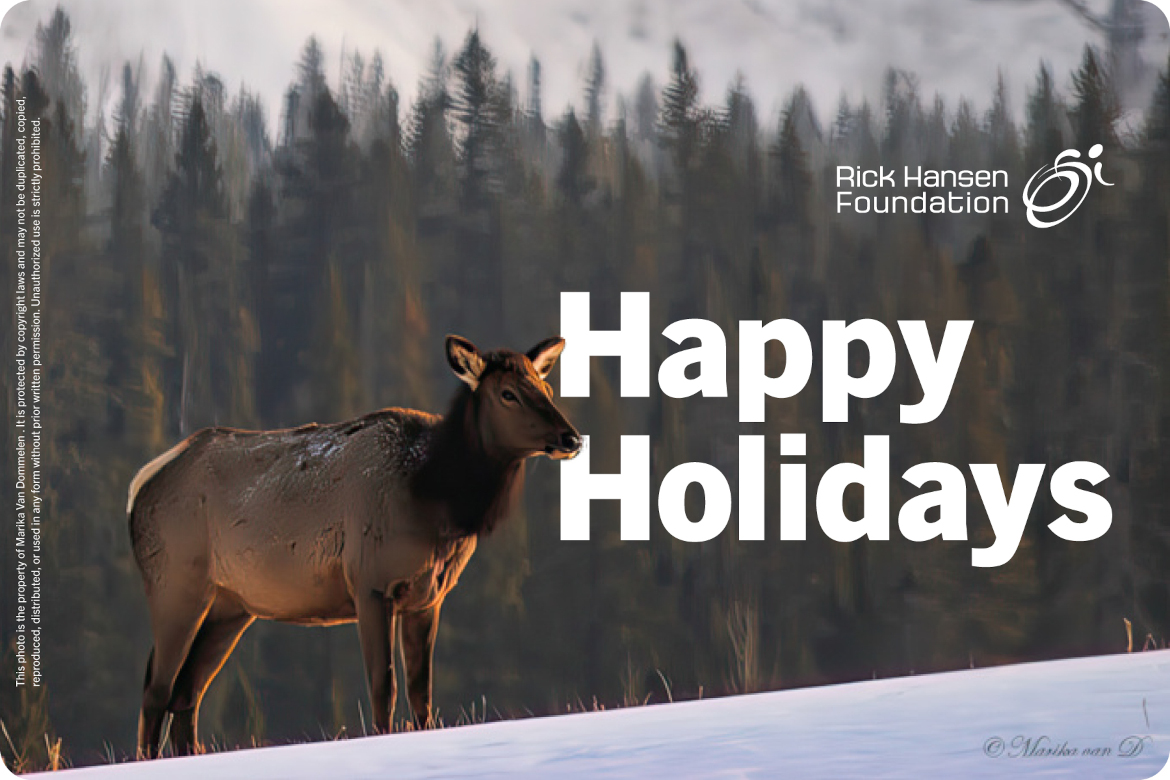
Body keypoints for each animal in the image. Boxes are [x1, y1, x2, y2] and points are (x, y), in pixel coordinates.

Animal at [127, 335, 581, 758]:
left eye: (546, 388)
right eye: (508, 393)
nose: (571, 437)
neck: (432, 500)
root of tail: (140, 486)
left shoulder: (427, 597)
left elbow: (422, 693)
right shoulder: (370, 582)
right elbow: (383, 685)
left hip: (230, 606)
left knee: (187, 693)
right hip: (176, 585)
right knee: (156, 688)